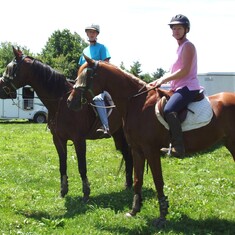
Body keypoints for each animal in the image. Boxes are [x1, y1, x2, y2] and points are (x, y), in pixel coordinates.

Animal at [67, 54, 235, 226]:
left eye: (87, 75)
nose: (70, 101)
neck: (136, 103)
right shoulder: (137, 150)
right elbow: (137, 179)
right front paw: (134, 210)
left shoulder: (151, 150)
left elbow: (158, 180)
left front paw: (162, 216)